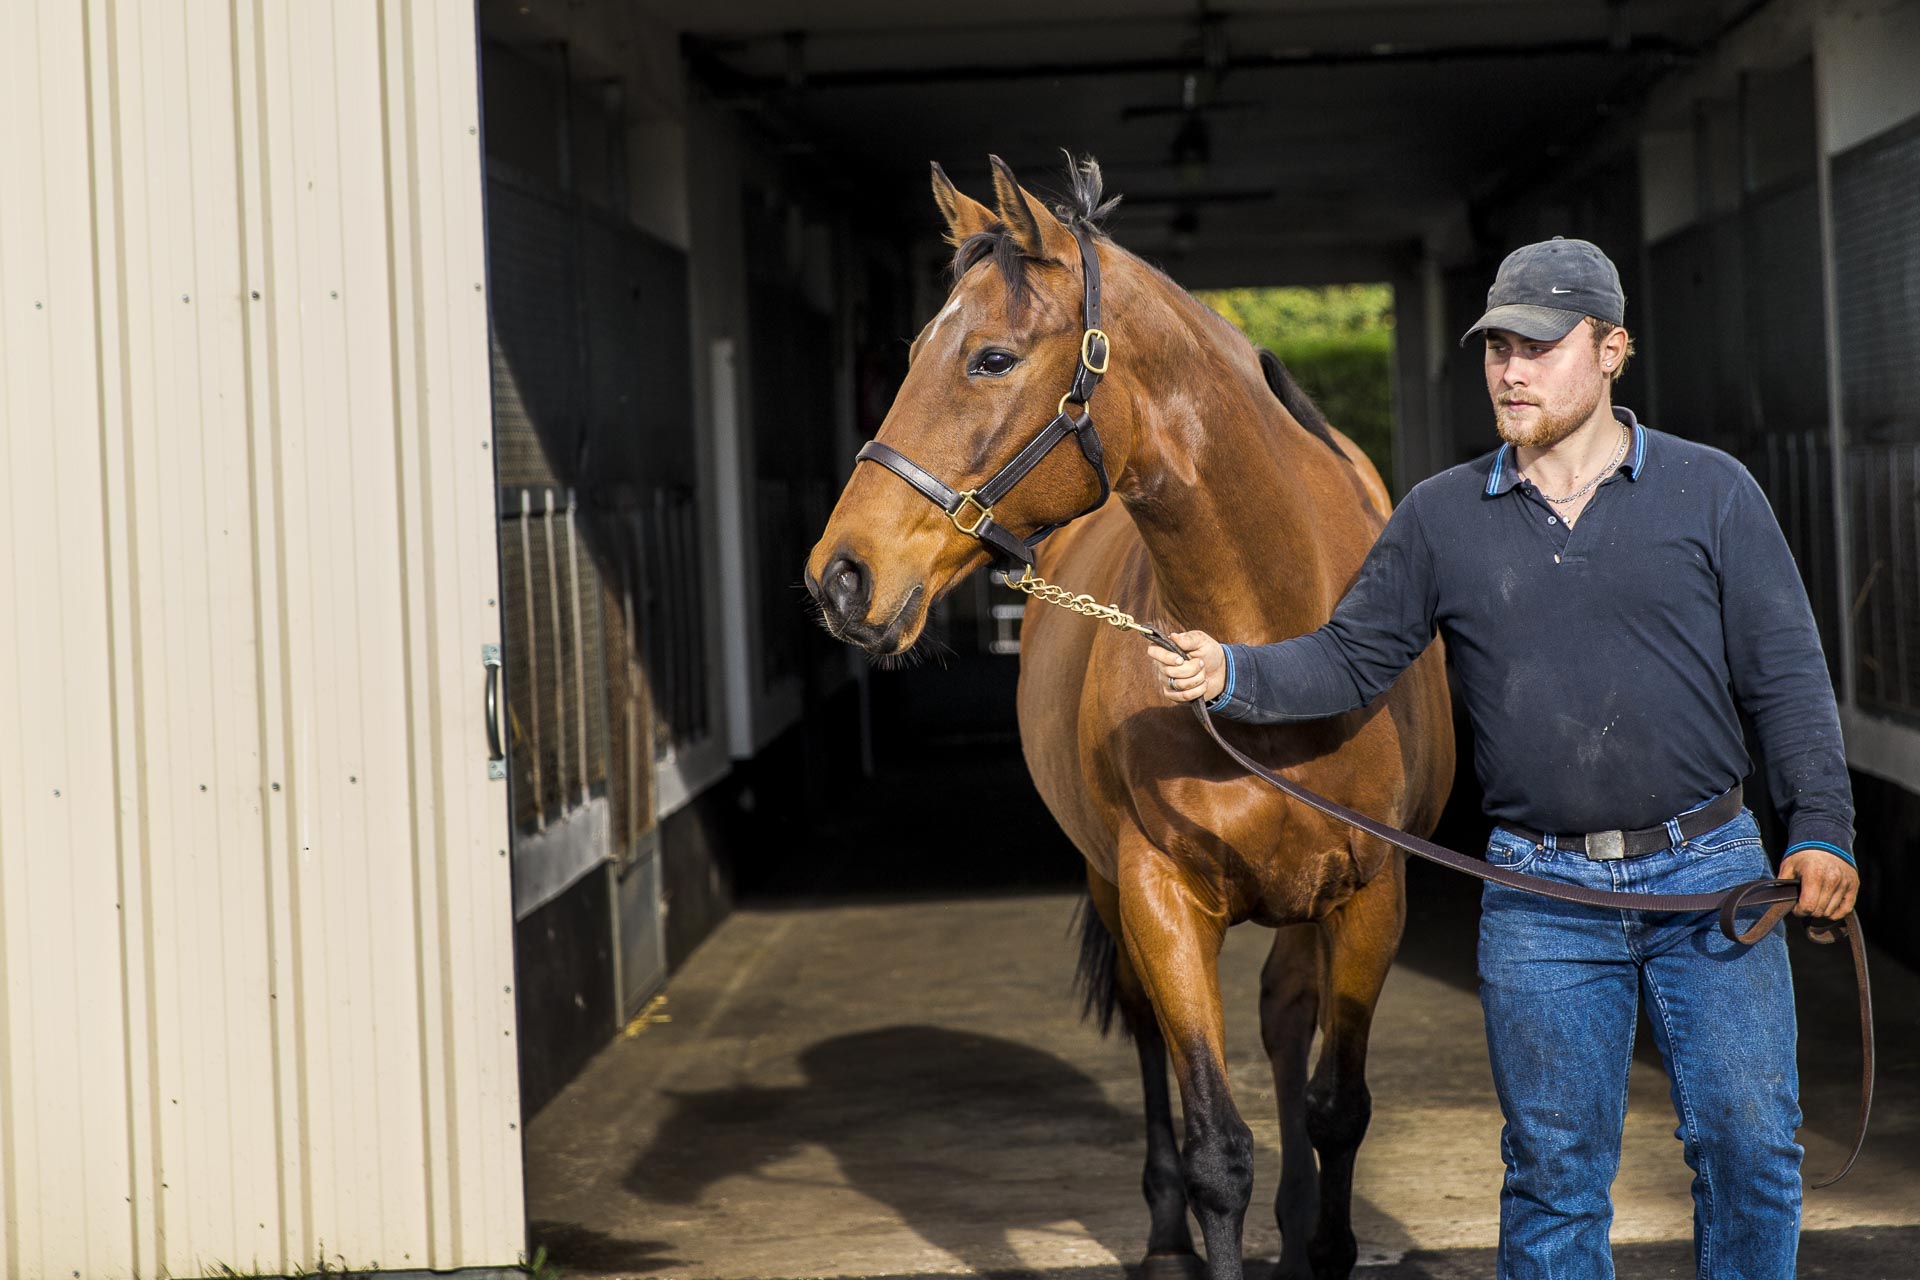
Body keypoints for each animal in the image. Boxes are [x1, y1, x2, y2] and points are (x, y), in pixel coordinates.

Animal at [802, 152, 1443, 1280]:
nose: (839, 577)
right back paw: (1163, 1236)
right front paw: (1205, 1221)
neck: (1274, 651)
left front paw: (1322, 1237)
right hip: (1112, 885)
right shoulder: (1160, 896)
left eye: (991, 358)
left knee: (1286, 1020)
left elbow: (1338, 1106)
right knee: (1150, 1036)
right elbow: (1215, 1147)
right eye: (910, 353)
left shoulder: (1373, 896)